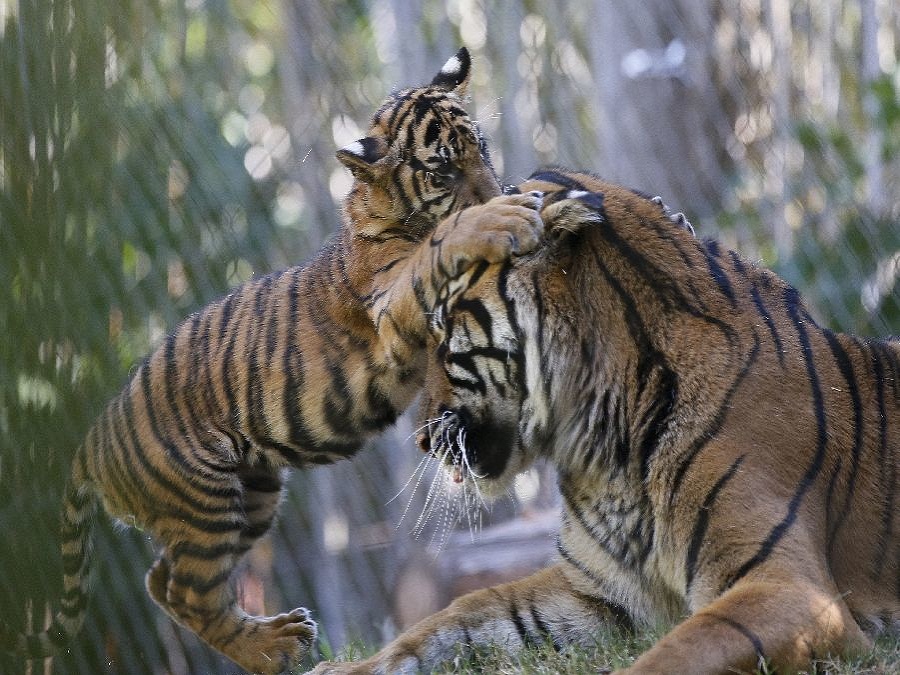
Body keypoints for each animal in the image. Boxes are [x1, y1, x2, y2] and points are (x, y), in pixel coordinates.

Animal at [0, 48, 545, 675]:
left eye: (481, 146)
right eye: (442, 173)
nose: (497, 188)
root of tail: (90, 442)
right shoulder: (391, 304)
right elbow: (443, 241)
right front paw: (502, 217)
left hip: (254, 493)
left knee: (164, 580)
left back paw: (274, 636)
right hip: (205, 499)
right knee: (187, 590)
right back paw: (274, 647)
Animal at [309, 169, 899, 674]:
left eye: (441, 327)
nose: (422, 438)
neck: (604, 444)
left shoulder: (790, 588)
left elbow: (672, 656)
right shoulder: (596, 593)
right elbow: (459, 615)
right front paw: (340, 667)